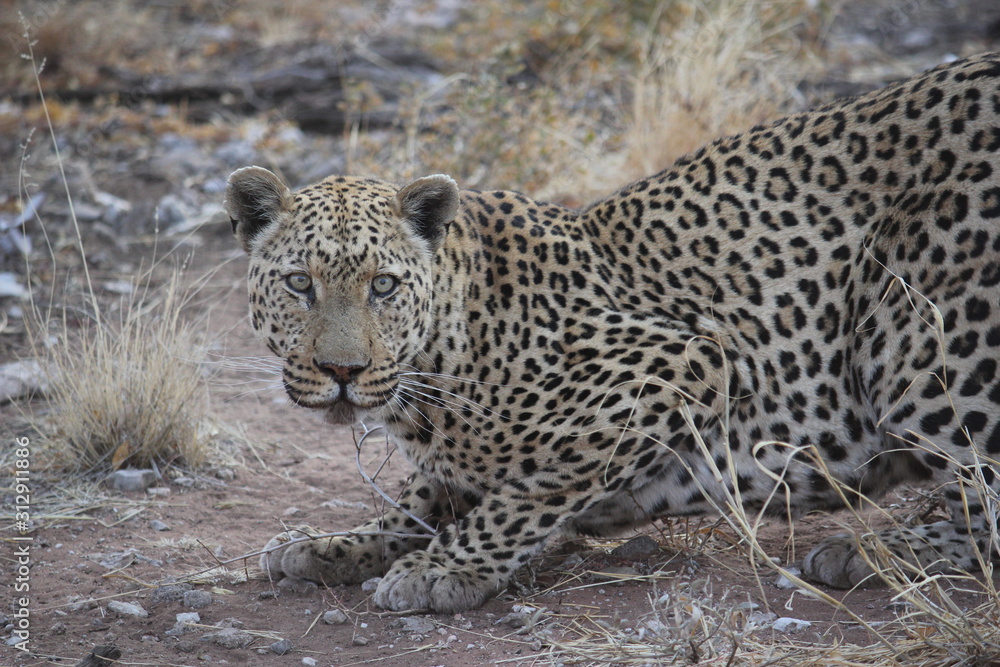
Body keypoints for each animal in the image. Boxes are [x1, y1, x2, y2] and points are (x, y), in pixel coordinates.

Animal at [226, 52, 1000, 614]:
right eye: (300, 284)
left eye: (383, 286)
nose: (343, 372)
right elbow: (417, 498)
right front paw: (332, 545)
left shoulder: (683, 360)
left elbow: (529, 488)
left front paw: (444, 569)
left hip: (922, 332)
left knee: (985, 503)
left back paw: (870, 552)